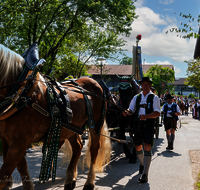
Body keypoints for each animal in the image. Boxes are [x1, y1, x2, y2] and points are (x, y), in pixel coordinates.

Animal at [0, 44, 111, 190]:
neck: (22, 92)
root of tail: (95, 81)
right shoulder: (8, 139)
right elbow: (20, 167)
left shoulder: (20, 141)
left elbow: (5, 173)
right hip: (71, 127)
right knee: (78, 147)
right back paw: (70, 178)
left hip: (95, 124)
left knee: (93, 149)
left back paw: (89, 182)